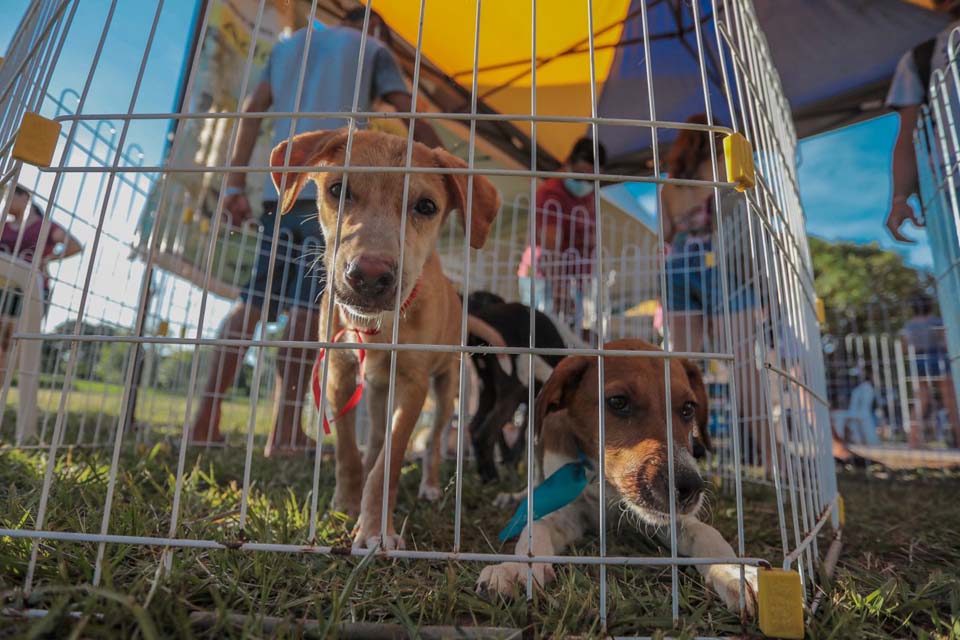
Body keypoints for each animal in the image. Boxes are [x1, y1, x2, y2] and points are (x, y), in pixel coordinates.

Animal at [266, 129, 498, 552]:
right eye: (338, 190)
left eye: (426, 206)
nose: (370, 276)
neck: (377, 327)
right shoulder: (338, 373)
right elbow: (347, 450)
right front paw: (345, 503)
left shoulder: (413, 385)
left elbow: (388, 462)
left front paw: (375, 530)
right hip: (375, 392)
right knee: (374, 437)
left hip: (446, 389)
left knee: (434, 441)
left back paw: (430, 487)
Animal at [476, 338, 760, 616]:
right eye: (618, 402)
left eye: (688, 408)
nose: (690, 488)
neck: (607, 487)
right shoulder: (568, 513)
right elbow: (535, 530)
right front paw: (515, 568)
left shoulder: (670, 521)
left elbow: (707, 533)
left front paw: (736, 573)